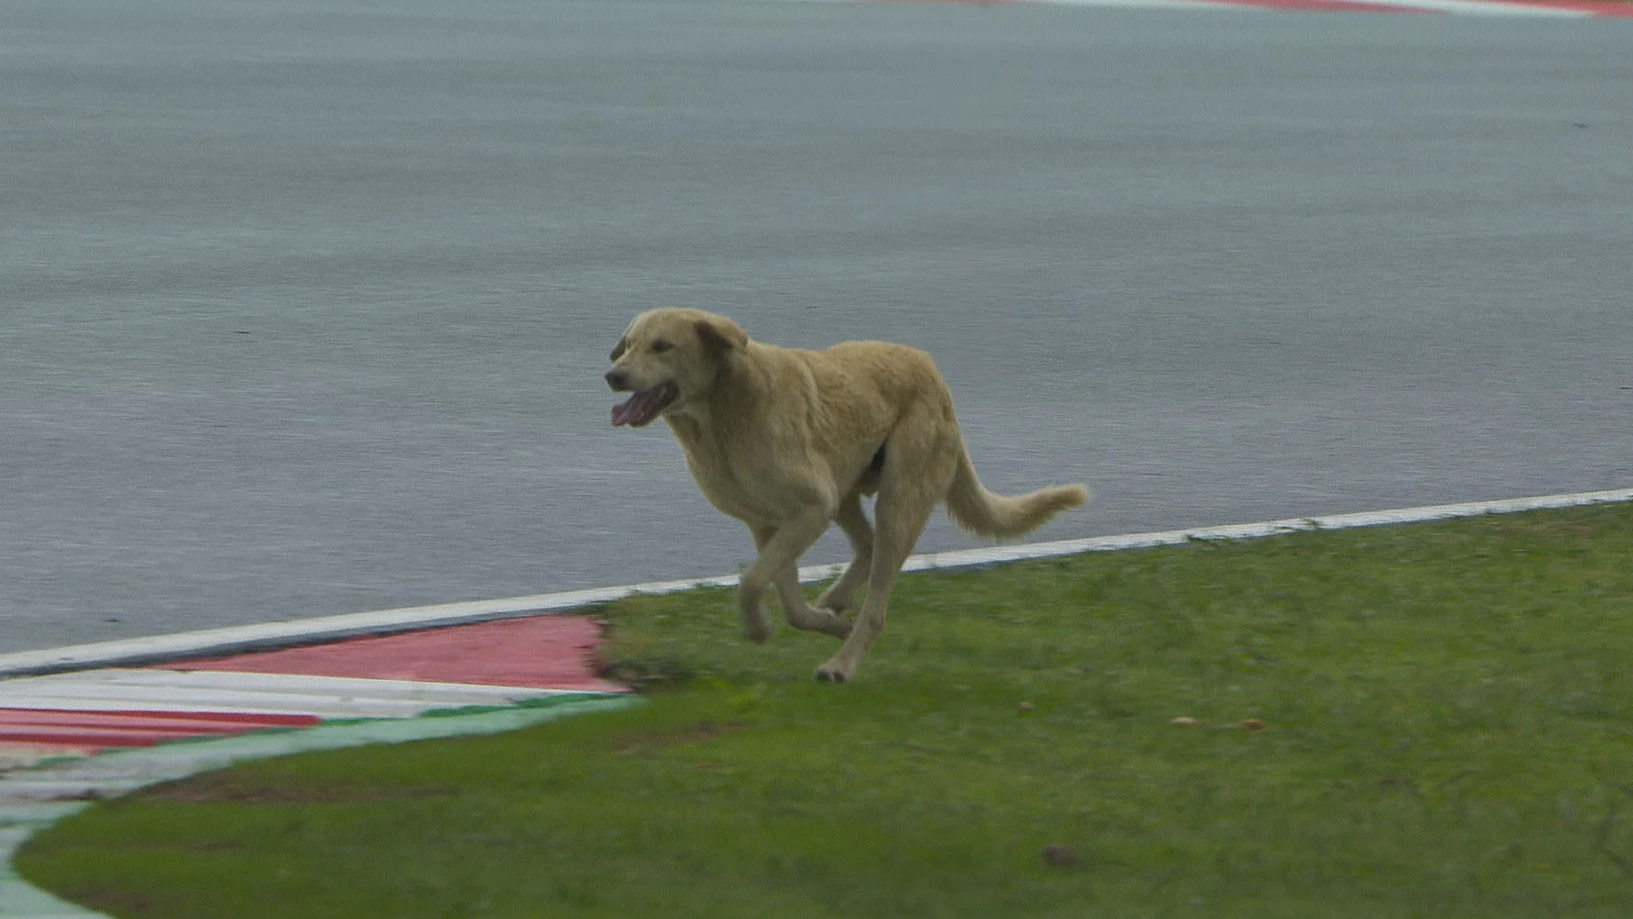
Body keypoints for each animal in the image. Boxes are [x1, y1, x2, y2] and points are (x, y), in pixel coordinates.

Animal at [607, 308, 1090, 682]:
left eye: (662, 346)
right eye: (628, 344)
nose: (613, 375)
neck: (723, 413)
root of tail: (933, 370)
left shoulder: (809, 509)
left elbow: (750, 583)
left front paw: (761, 627)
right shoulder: (770, 524)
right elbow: (788, 601)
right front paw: (824, 622)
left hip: (898, 500)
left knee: (878, 600)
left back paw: (842, 664)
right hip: (845, 494)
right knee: (868, 546)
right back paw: (837, 607)